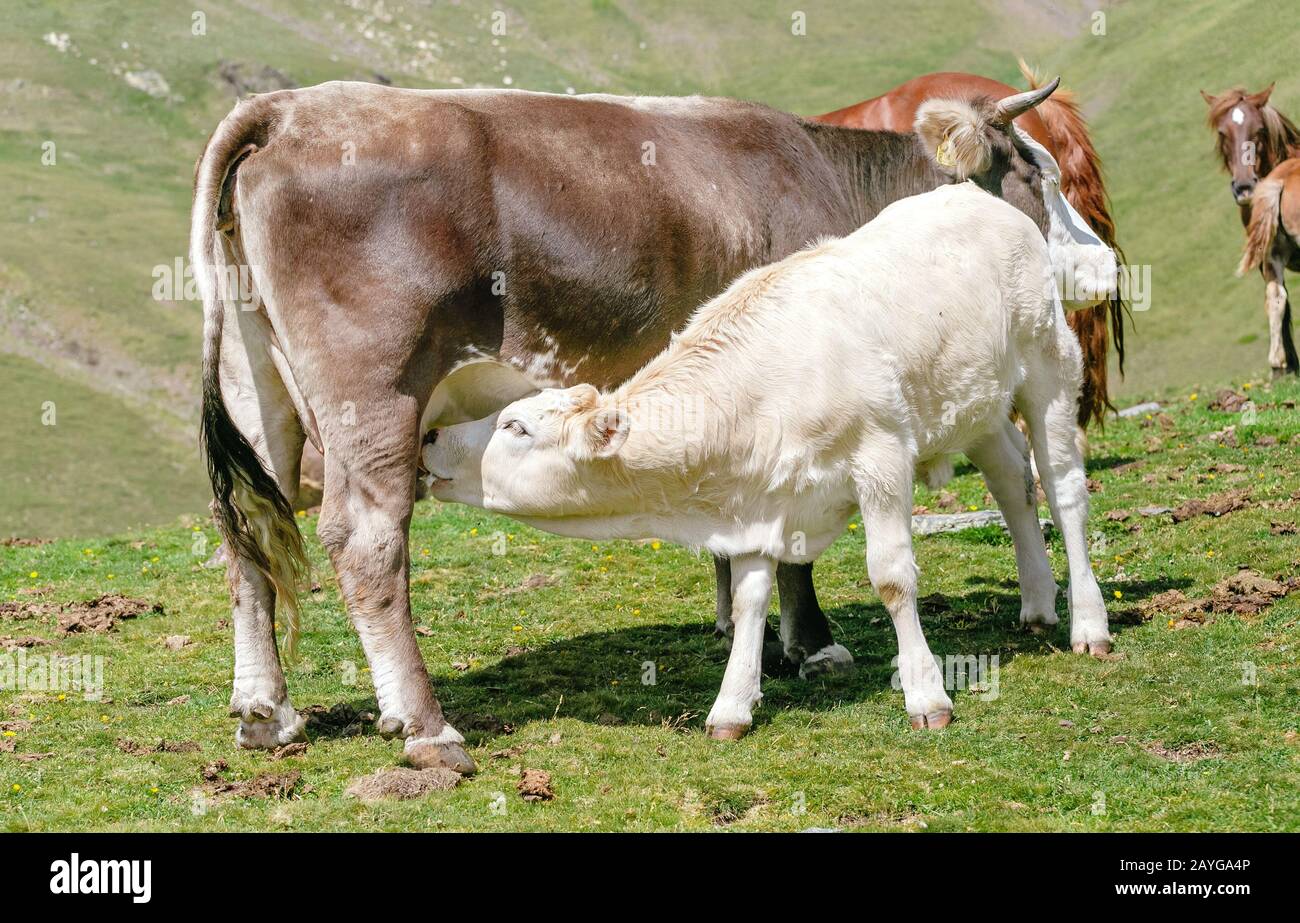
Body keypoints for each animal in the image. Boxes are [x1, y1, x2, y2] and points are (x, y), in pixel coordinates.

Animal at [423, 181, 1112, 738]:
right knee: (1012, 481)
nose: (429, 438)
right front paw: (732, 706)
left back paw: (1088, 624)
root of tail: (978, 196)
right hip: (977, 404)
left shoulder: (882, 457)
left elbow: (891, 576)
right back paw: (1037, 603)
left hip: (1048, 368)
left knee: (1063, 490)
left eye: (514, 426)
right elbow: (751, 597)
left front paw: (926, 695)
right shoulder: (756, 501)